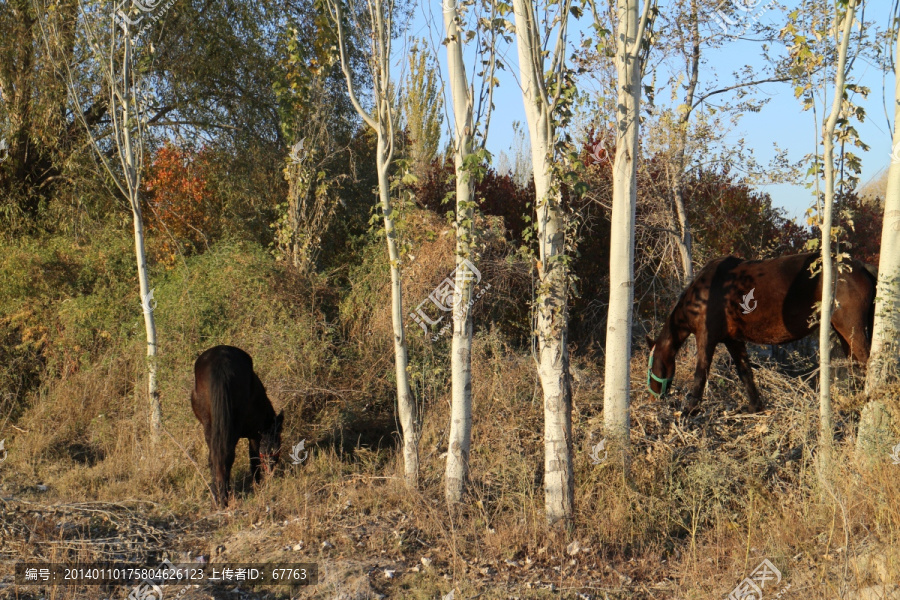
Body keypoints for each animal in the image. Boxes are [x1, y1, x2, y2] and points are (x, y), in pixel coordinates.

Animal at [192, 346, 284, 506]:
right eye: (277, 442)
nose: (271, 470)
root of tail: (220, 361)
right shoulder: (255, 435)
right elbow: (254, 459)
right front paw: (258, 487)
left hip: (210, 426)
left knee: (215, 458)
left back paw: (217, 497)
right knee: (227, 457)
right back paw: (224, 498)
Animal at [652, 252, 876, 412]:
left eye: (653, 362)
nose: (655, 395)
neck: (705, 293)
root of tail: (861, 267)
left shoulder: (706, 338)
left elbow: (701, 372)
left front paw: (689, 409)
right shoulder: (733, 340)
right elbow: (745, 372)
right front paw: (755, 407)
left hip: (851, 328)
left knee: (868, 363)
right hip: (844, 333)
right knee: (856, 367)